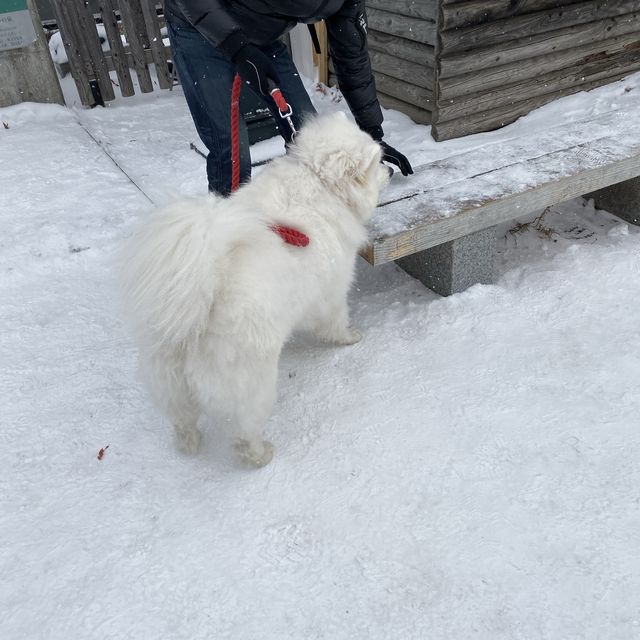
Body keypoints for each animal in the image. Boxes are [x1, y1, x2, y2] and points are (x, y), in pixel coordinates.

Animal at [122, 112, 388, 468]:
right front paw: (349, 338)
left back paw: (189, 445)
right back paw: (261, 455)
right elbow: (335, 321)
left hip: (171, 384)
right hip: (254, 384)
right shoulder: (331, 290)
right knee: (245, 433)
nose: (390, 171)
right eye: (379, 163)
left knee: (183, 421)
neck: (319, 181)